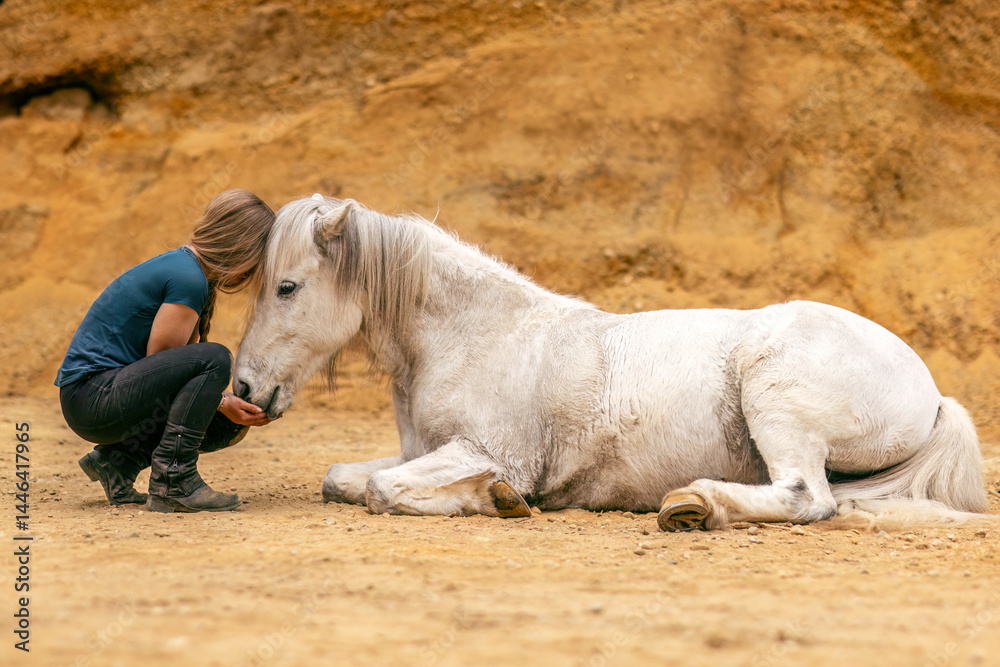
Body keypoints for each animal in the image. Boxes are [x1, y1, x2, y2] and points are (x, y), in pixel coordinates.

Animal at [233, 193, 990, 530]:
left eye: (287, 286)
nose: (244, 387)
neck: (478, 334)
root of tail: (932, 393)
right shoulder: (425, 449)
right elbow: (342, 477)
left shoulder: (483, 451)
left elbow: (381, 489)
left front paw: (499, 499)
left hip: (776, 402)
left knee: (807, 497)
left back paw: (693, 502)